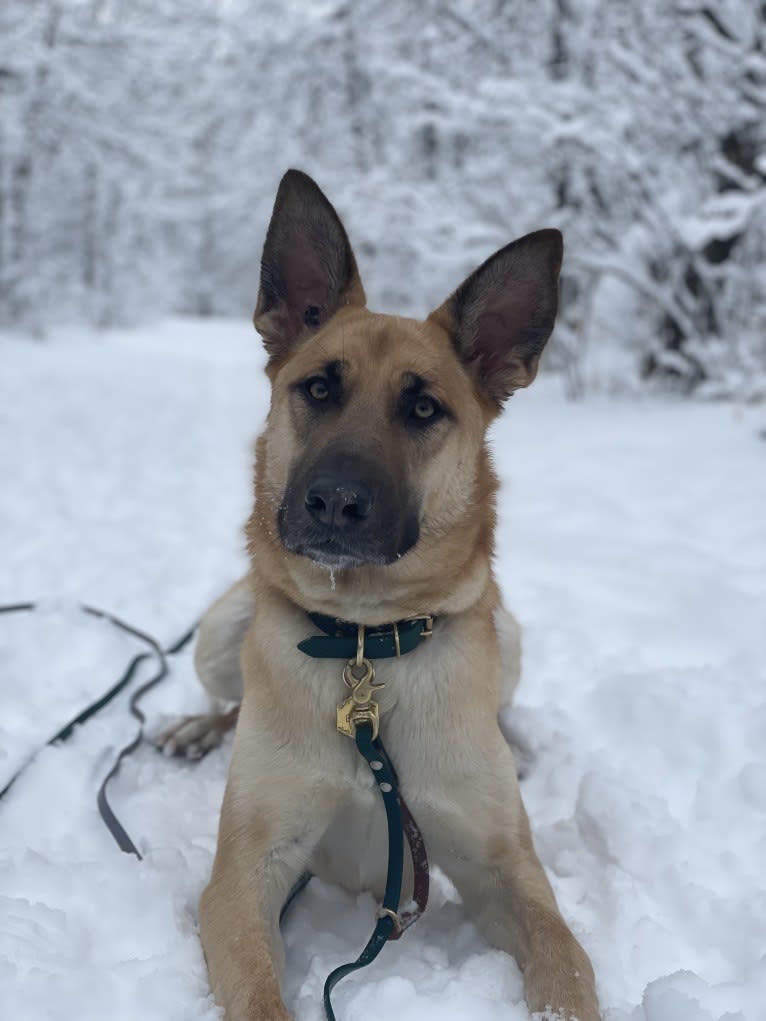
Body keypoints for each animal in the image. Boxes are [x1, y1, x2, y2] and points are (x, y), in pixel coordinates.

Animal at [162, 171, 604, 1016]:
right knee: (229, 697)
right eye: (318, 388)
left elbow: (568, 969)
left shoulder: (505, 869)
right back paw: (196, 730)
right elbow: (260, 993)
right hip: (219, 628)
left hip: (508, 634)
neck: (367, 642)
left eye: (424, 407)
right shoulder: (244, 877)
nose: (335, 501)